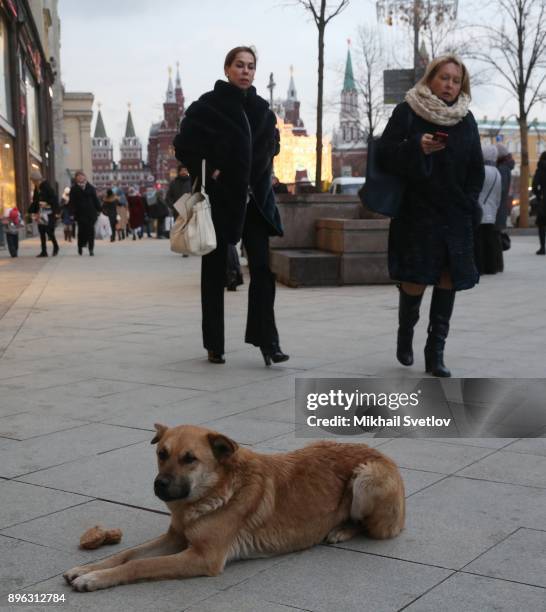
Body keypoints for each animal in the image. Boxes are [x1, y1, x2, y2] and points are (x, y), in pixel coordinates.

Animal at [63, 424, 404, 592]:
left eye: (189, 459)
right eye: (162, 454)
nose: (159, 485)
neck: (215, 493)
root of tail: (385, 456)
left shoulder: (203, 557)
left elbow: (139, 565)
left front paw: (95, 580)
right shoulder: (175, 538)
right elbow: (126, 555)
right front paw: (89, 569)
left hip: (366, 476)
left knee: (370, 527)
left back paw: (341, 530)